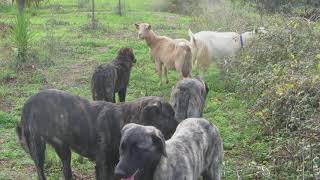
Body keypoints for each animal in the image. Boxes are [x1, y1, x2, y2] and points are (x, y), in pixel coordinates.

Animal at [16, 89, 178, 179]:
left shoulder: (116, 166)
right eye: (170, 115)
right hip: (38, 149)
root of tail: (27, 104)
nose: (179, 124)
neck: (125, 120)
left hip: (64, 152)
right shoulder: (103, 166)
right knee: (40, 172)